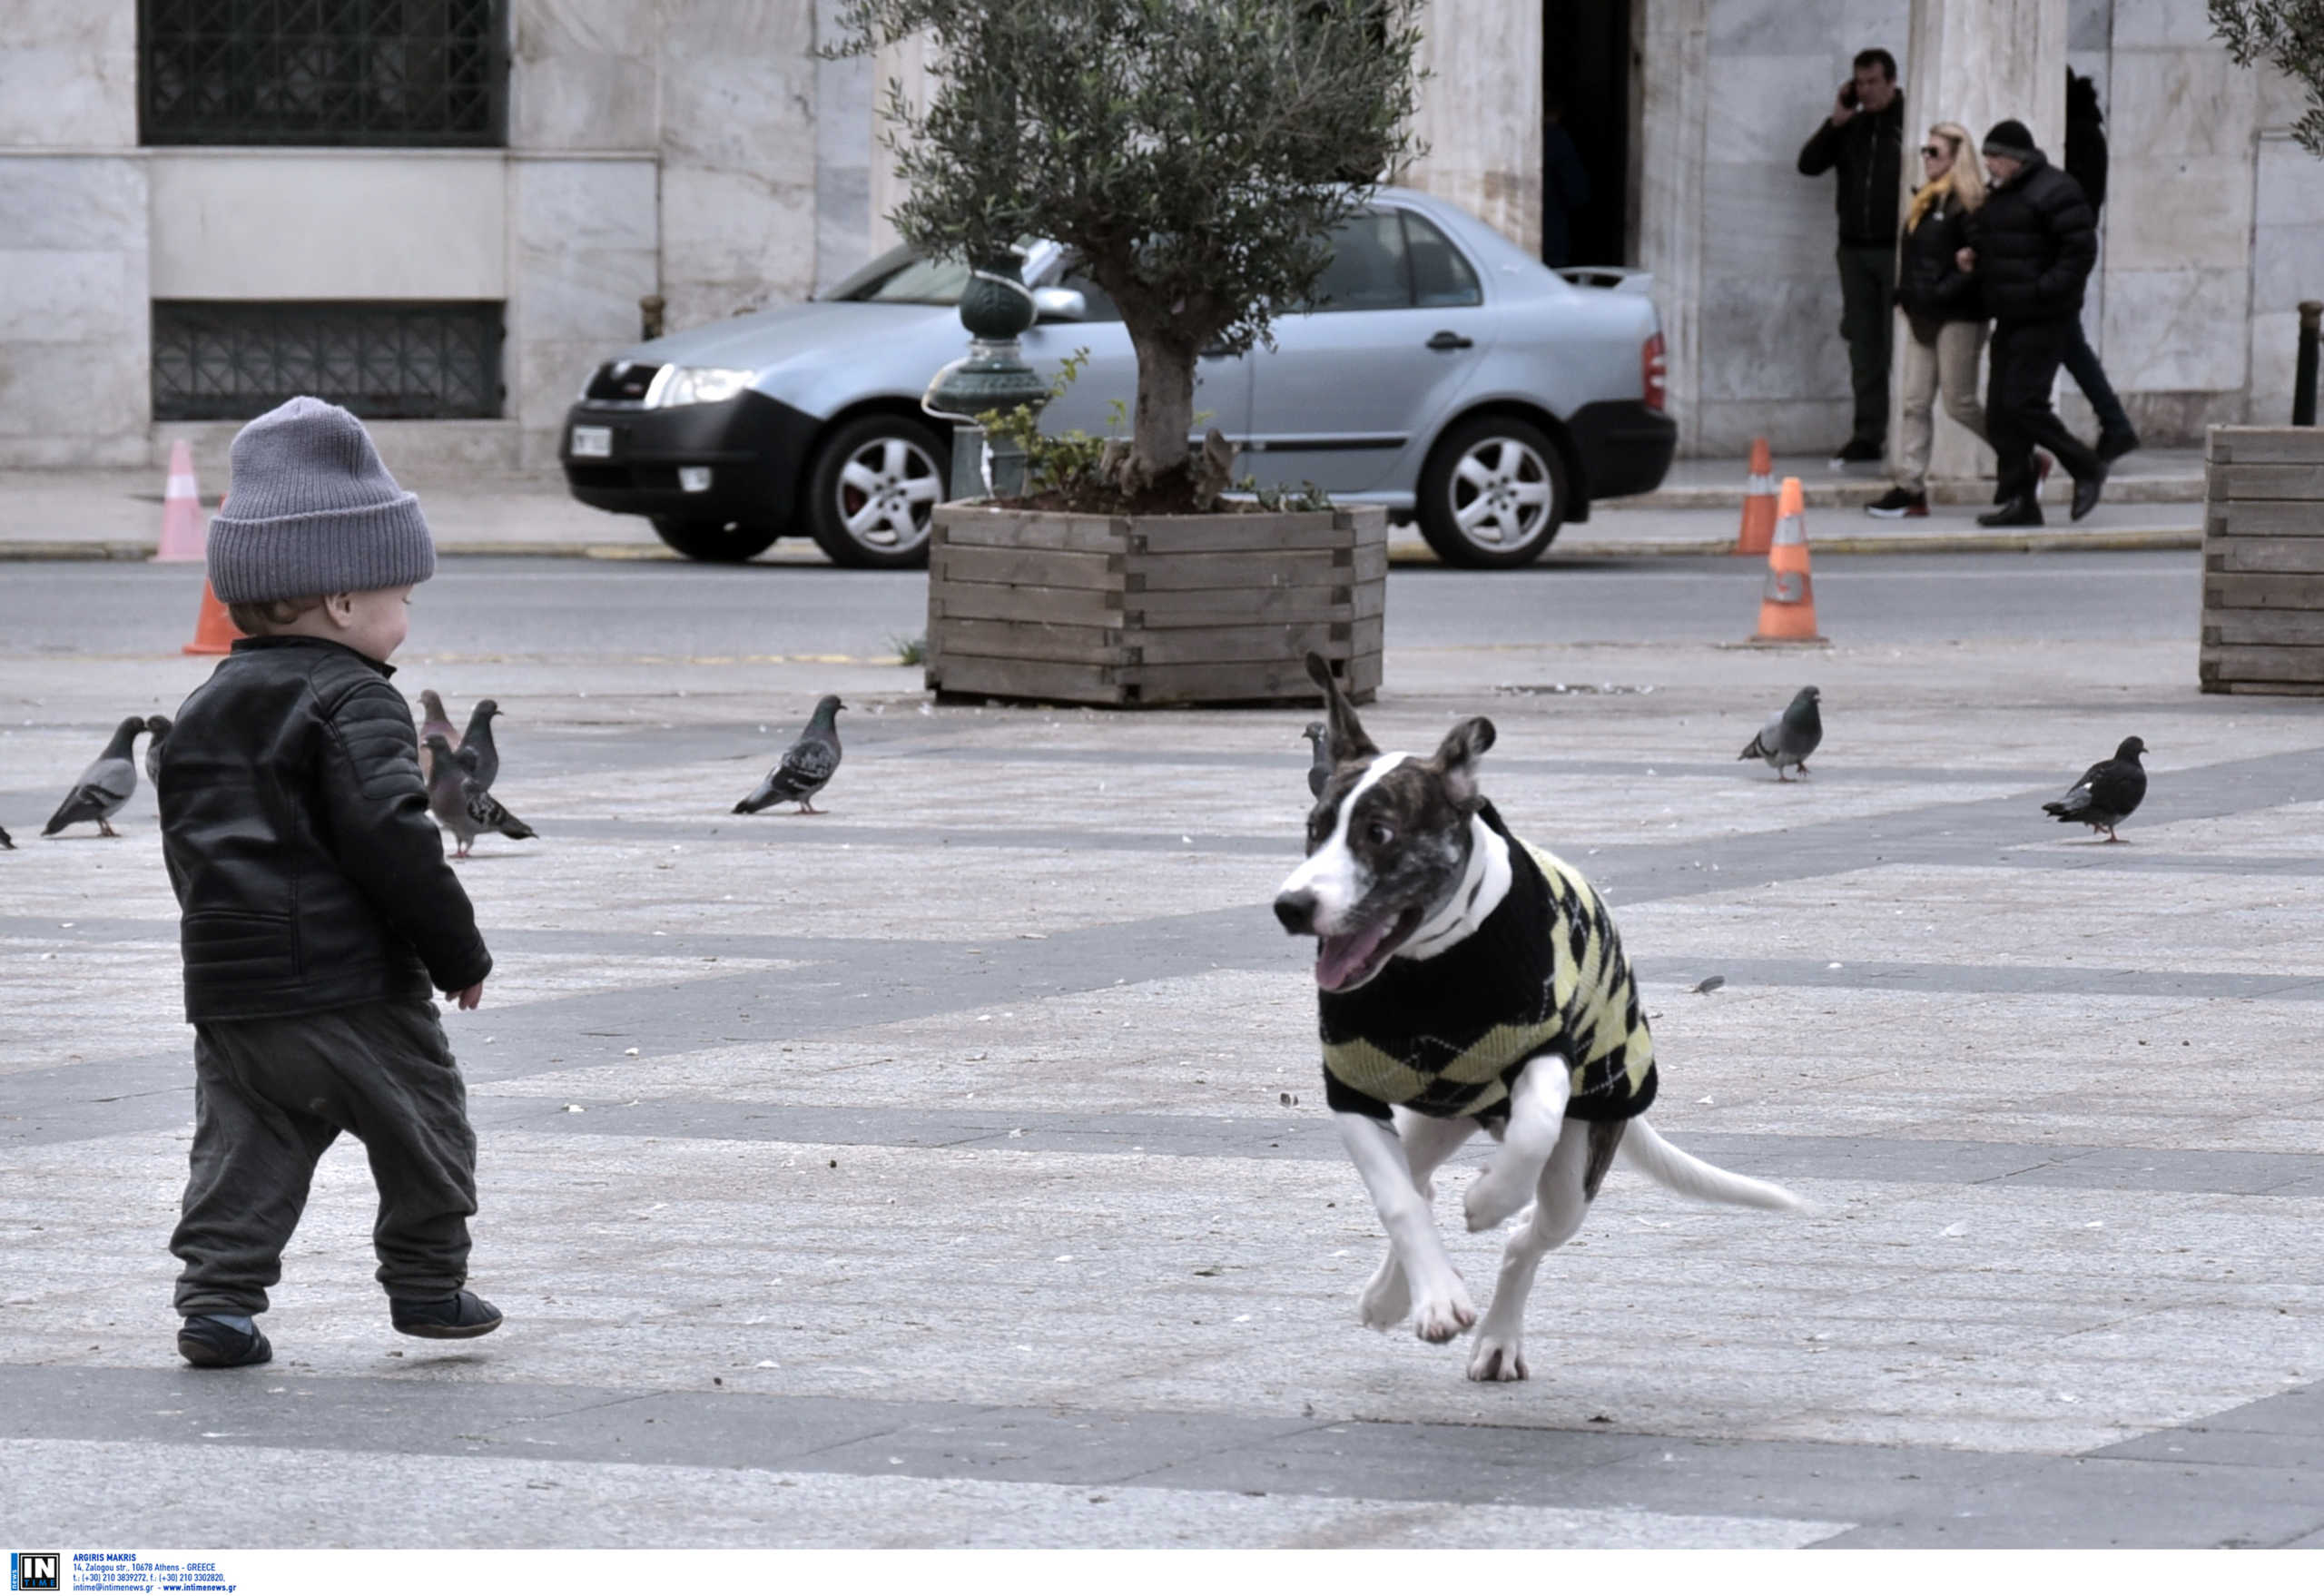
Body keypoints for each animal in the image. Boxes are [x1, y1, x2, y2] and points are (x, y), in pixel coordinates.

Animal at [1273, 655, 1794, 1374]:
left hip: (1577, 1169)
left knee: (1528, 1235)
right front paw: (1435, 1301)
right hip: (1434, 1119)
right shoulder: (1352, 1088)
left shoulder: (1543, 1049)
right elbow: (1397, 1199)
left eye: (1378, 833)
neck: (1429, 969)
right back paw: (1393, 1296)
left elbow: (1535, 1126)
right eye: (1314, 828)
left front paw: (1489, 1199)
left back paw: (1497, 1334)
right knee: (1420, 1182)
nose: (1291, 907)